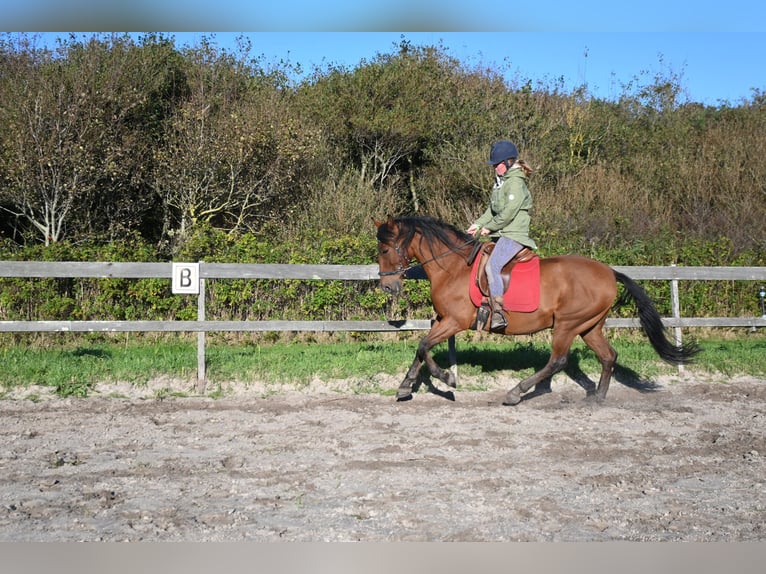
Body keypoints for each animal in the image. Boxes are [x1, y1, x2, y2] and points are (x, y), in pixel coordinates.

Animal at [374, 214, 704, 408]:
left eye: (385, 250)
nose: (388, 286)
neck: (453, 267)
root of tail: (610, 272)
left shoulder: (455, 321)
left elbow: (424, 345)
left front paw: (447, 378)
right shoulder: (443, 320)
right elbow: (421, 349)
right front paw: (405, 387)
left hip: (568, 325)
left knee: (558, 360)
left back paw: (516, 393)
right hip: (590, 326)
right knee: (608, 356)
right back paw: (597, 397)